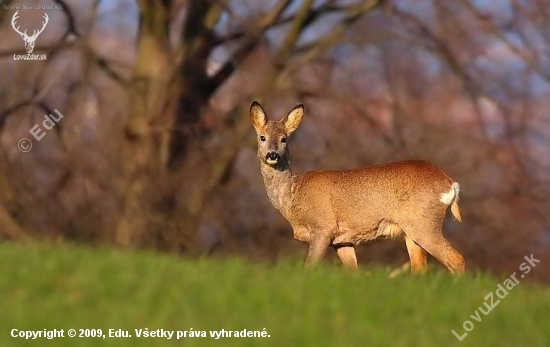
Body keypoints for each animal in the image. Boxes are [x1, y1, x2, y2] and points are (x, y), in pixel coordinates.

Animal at [252, 100, 468, 274]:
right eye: (262, 137)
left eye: (284, 138)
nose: (272, 155)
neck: (293, 195)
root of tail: (450, 182)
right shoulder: (342, 241)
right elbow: (353, 272)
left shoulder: (323, 227)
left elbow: (309, 267)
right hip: (411, 229)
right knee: (420, 267)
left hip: (422, 222)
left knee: (456, 259)